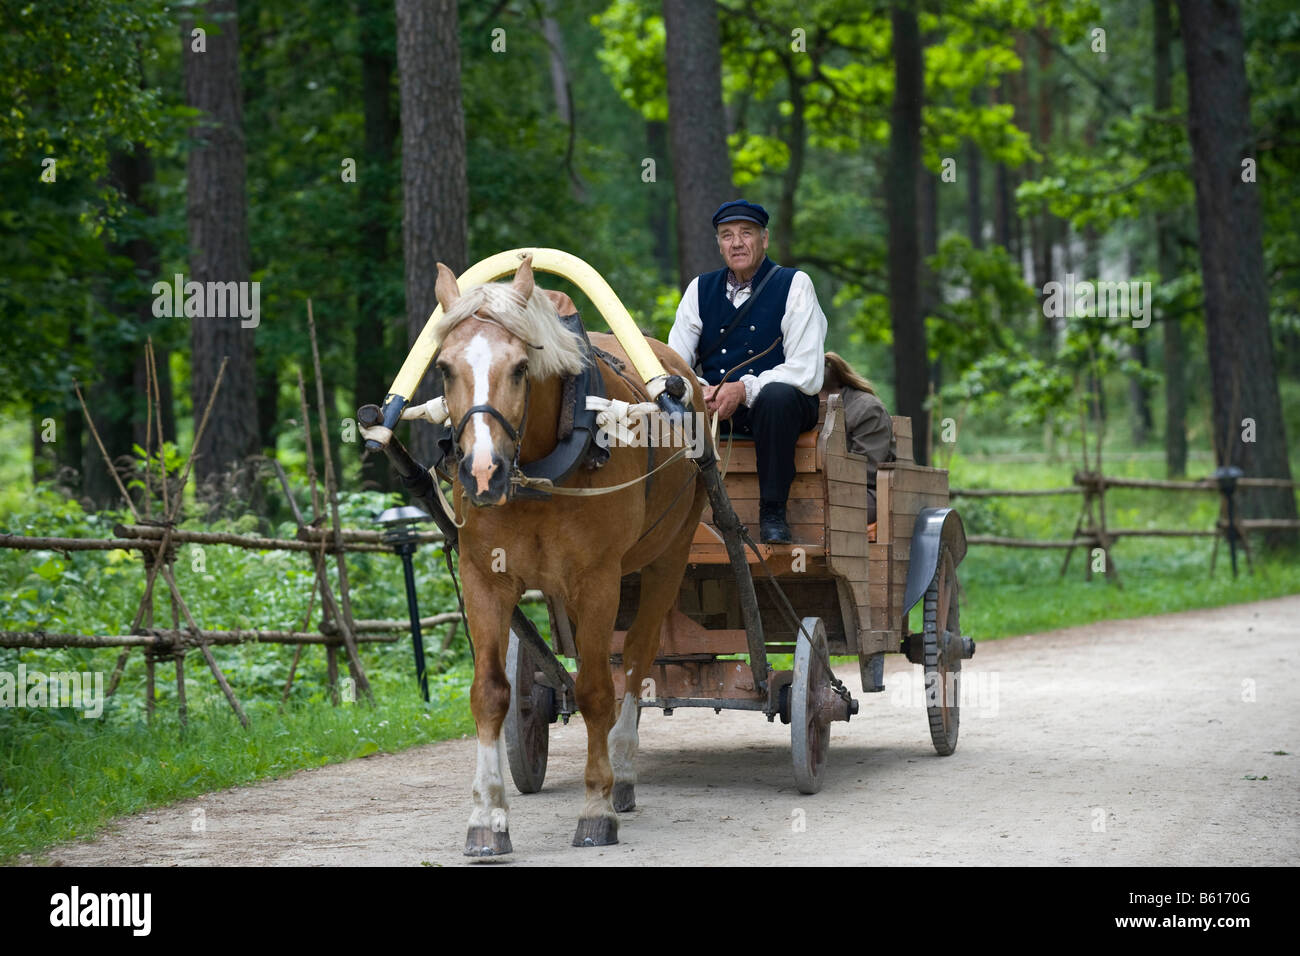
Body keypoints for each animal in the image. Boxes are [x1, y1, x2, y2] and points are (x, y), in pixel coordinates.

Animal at [431, 254, 707, 853]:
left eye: (519, 368)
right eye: (443, 368)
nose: (483, 473)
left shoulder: (598, 579)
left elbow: (600, 690)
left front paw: (596, 806)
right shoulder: (484, 578)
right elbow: (491, 693)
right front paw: (487, 816)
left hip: (667, 557)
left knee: (635, 660)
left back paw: (621, 771)